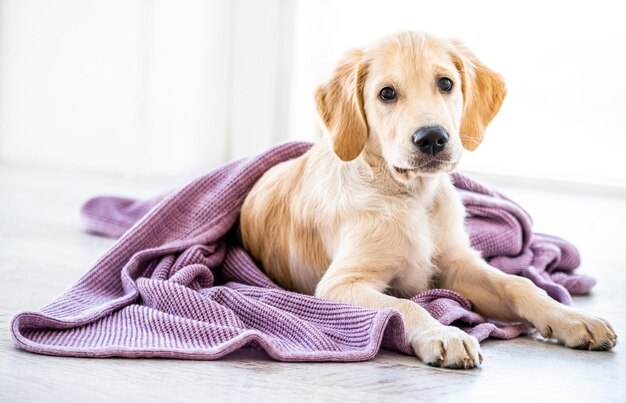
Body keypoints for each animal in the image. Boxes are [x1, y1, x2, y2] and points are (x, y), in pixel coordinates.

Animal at [239, 30, 616, 370]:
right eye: (386, 93)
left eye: (446, 84)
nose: (432, 138)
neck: (411, 196)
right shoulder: (341, 283)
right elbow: (405, 306)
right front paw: (444, 334)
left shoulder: (457, 263)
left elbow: (519, 284)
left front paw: (572, 317)